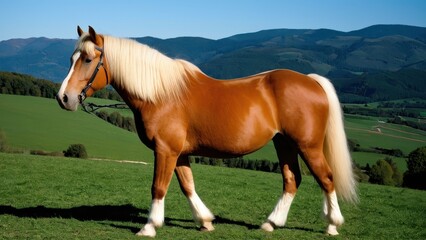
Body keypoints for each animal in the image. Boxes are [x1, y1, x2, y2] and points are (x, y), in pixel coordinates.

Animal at [55, 26, 356, 238]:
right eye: (72, 58)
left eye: (88, 59)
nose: (63, 98)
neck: (161, 94)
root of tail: (311, 81)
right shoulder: (178, 153)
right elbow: (187, 185)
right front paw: (205, 221)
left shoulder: (165, 150)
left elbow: (159, 187)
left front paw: (149, 226)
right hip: (284, 144)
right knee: (292, 180)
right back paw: (271, 223)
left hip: (308, 146)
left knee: (326, 179)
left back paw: (332, 225)